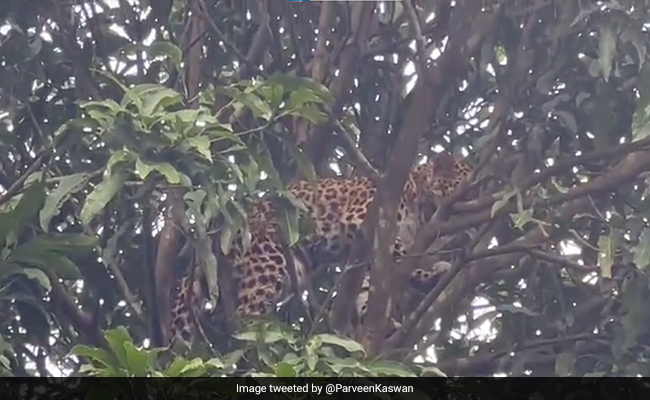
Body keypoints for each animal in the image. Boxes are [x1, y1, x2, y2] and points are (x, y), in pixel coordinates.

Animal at [166, 153, 473, 346]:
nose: (475, 198)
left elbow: (367, 287)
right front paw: (427, 273)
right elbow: (403, 255)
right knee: (246, 310)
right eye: (467, 187)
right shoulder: (363, 219)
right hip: (269, 258)